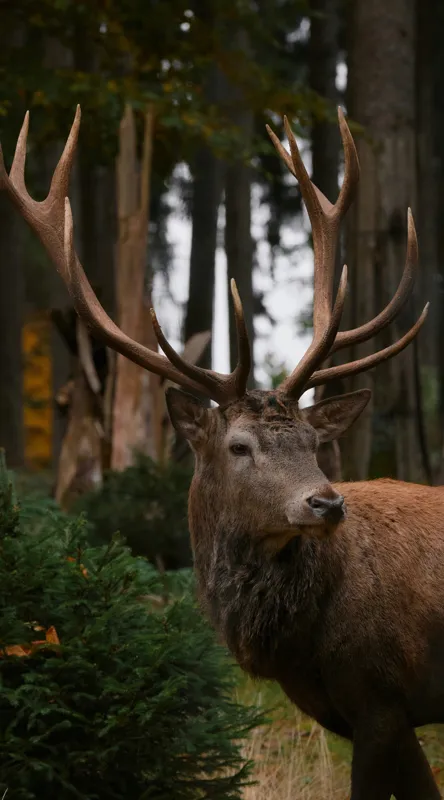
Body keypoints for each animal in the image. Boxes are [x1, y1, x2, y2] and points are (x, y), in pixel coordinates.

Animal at [1, 104, 443, 800]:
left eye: (315, 442)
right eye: (238, 445)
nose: (326, 503)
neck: (301, 644)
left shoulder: (381, 696)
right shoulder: (376, 711)